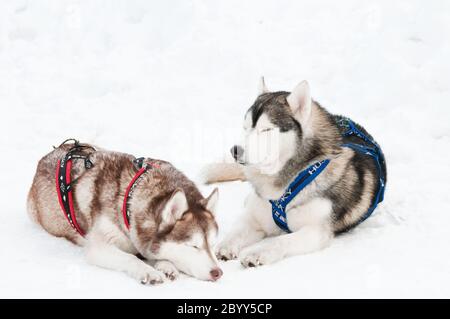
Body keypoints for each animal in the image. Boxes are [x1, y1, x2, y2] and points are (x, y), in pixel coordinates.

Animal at [27, 142, 222, 284]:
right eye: (194, 246)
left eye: (212, 244)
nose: (218, 273)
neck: (129, 200)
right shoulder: (99, 247)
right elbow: (131, 258)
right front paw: (148, 271)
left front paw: (167, 266)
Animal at [202, 79, 384, 268]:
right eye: (245, 128)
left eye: (266, 130)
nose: (235, 150)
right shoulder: (257, 218)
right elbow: (237, 231)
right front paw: (224, 246)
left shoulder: (315, 231)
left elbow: (281, 241)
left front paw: (258, 252)